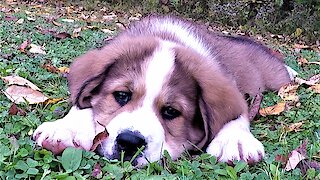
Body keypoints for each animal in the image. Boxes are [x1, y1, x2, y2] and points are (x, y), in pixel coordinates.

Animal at [33, 15, 296, 166]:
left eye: (170, 112)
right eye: (121, 96)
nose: (129, 142)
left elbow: (236, 113)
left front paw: (236, 140)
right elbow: (84, 102)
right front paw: (66, 128)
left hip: (271, 75)